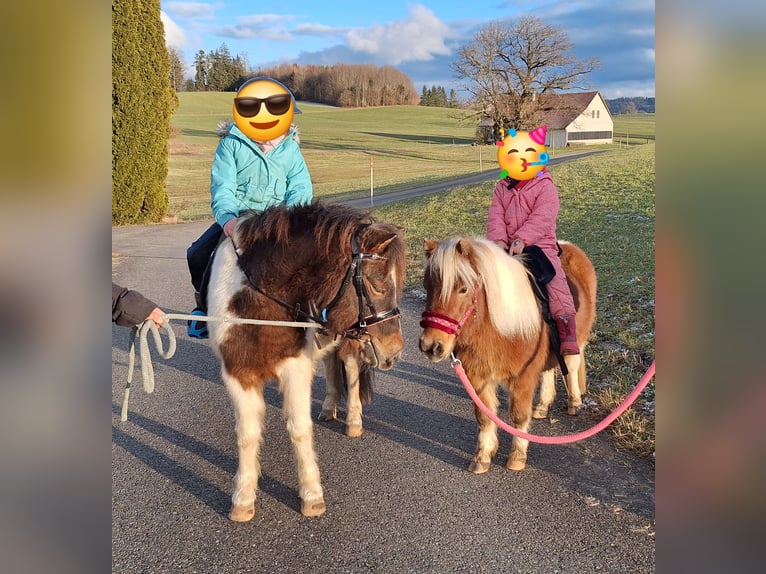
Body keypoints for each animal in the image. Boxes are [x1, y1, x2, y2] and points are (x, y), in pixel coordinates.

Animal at [207, 205, 404, 524]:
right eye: (377, 285)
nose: (394, 351)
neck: (260, 302)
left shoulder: (295, 368)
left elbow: (299, 428)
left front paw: (311, 495)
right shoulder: (238, 373)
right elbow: (247, 434)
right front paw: (243, 498)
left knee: (349, 368)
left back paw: (353, 421)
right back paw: (328, 408)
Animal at [416, 236, 596, 474]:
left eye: (463, 289)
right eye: (427, 286)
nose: (430, 346)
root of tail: (569, 246)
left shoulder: (523, 379)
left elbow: (518, 416)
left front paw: (517, 457)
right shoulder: (477, 378)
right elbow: (484, 416)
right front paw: (482, 457)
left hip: (577, 341)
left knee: (572, 366)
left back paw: (574, 403)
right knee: (549, 371)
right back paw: (542, 406)